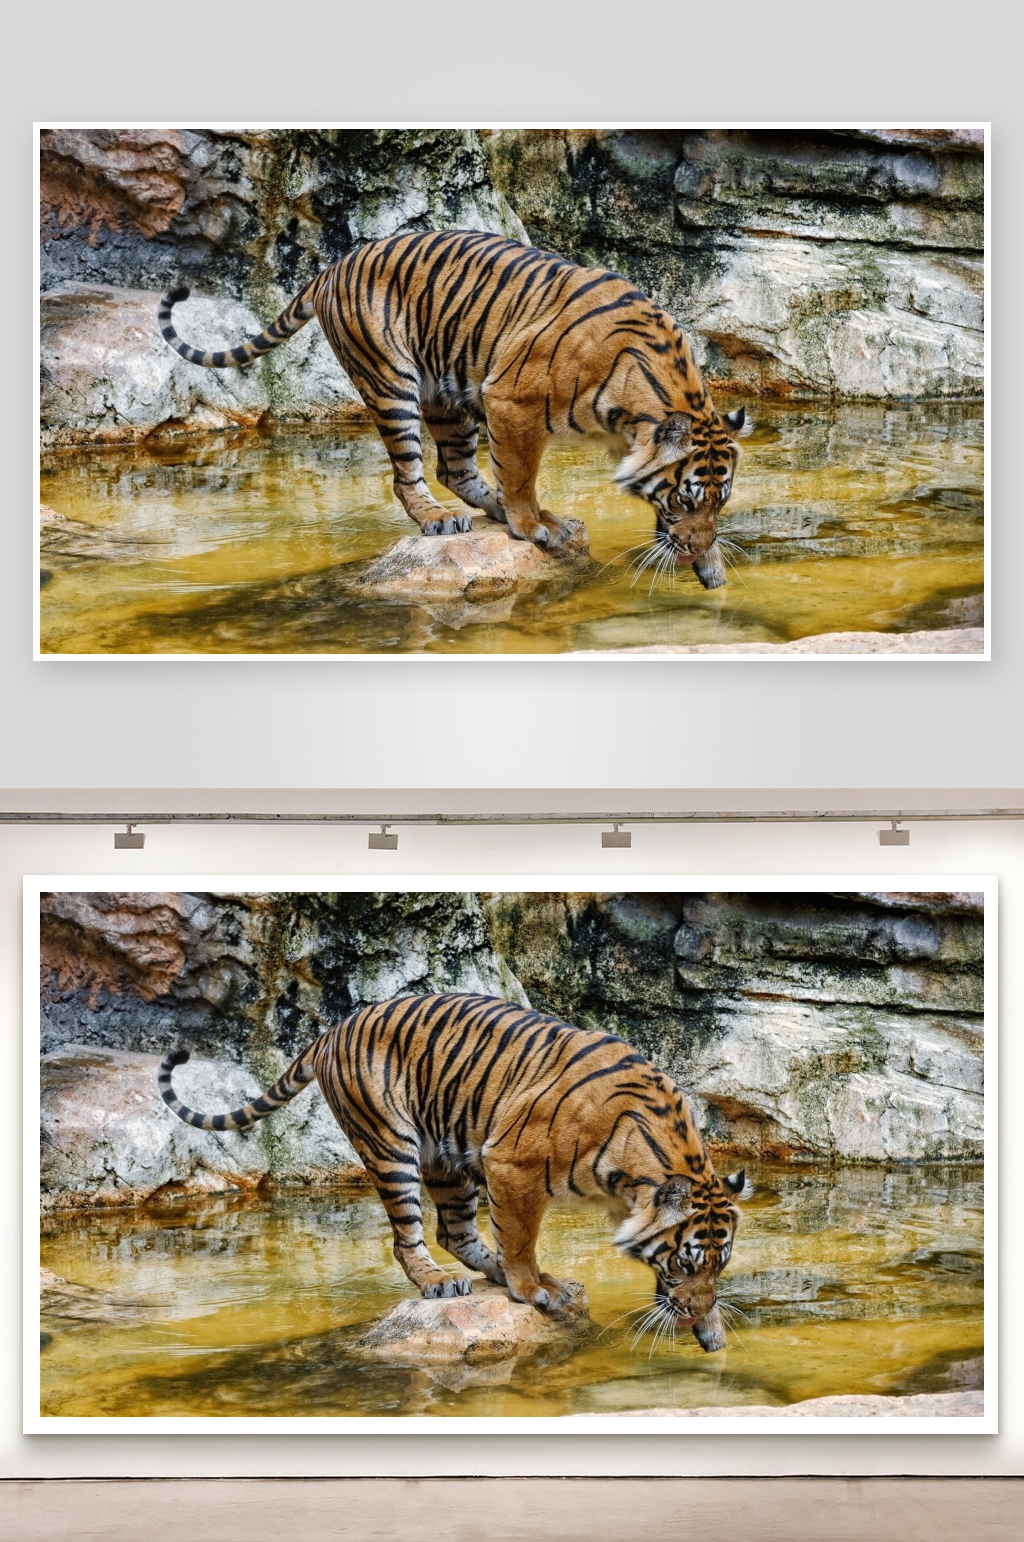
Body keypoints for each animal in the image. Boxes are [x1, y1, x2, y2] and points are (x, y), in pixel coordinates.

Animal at [158, 229, 749, 590]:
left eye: (718, 502)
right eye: (684, 497)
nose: (698, 548)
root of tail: (333, 264)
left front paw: (711, 564)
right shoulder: (511, 401)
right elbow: (520, 475)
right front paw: (532, 526)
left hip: (447, 395)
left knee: (455, 468)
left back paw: (493, 512)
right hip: (391, 382)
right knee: (409, 475)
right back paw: (440, 520)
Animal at [158, 991, 751, 1352]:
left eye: (718, 1265)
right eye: (685, 1260)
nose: (698, 1311)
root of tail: (333, 1027)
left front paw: (711, 1328)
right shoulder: (512, 1164)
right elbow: (520, 1238)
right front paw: (532, 1290)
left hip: (447, 1158)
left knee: (455, 1231)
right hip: (391, 1144)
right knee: (409, 1238)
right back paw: (440, 1283)